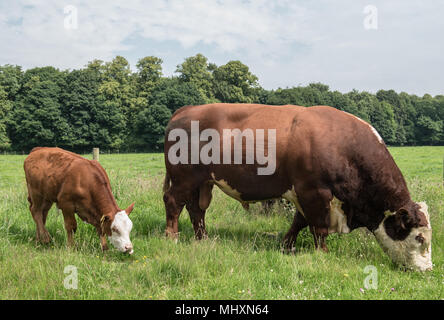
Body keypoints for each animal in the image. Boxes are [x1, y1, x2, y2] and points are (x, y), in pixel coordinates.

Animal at [161, 104, 432, 272]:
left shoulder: (306, 195)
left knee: (197, 210)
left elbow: (299, 222)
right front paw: (322, 253)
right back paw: (172, 237)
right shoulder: (315, 193)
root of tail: (186, 109)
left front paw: (286, 245)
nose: (428, 270)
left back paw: (203, 239)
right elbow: (318, 227)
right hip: (184, 179)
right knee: (173, 202)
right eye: (418, 238)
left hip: (202, 183)